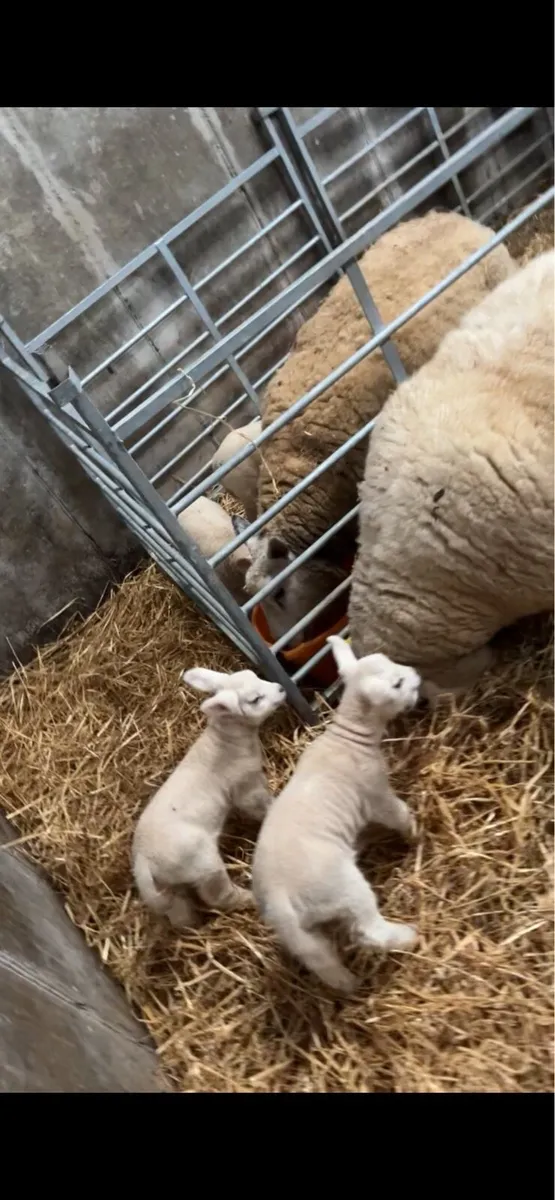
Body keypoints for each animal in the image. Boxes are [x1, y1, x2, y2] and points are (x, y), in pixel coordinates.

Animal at [132, 667, 286, 928]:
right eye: (255, 699)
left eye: (256, 675)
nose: (282, 688)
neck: (229, 741)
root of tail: (144, 861)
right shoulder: (247, 788)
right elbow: (261, 806)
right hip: (202, 864)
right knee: (219, 896)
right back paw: (249, 898)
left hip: (169, 885)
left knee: (179, 912)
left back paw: (193, 924)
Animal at [252, 636, 420, 994]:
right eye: (397, 684)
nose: (416, 675)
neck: (350, 738)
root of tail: (280, 898)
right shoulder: (375, 792)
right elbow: (397, 813)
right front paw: (415, 832)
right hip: (344, 888)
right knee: (369, 932)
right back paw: (407, 936)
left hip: (305, 928)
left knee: (320, 957)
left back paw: (346, 983)